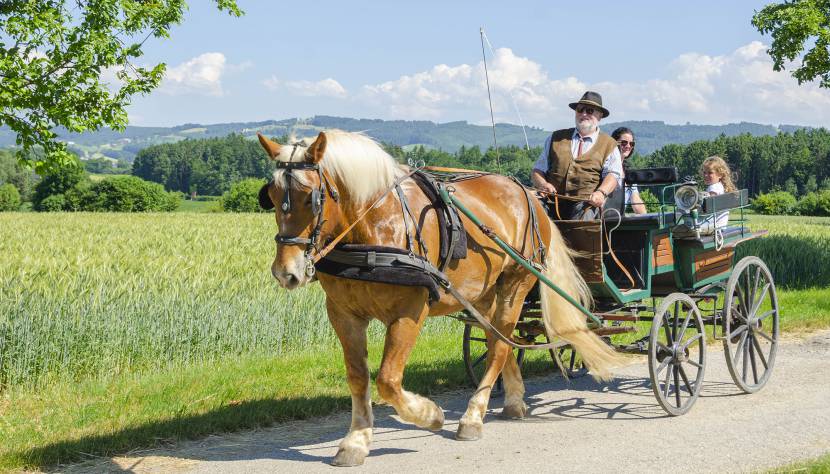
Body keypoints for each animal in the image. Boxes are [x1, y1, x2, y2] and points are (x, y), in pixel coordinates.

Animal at [260, 130, 624, 466]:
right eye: (273, 196)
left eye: (311, 198)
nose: (285, 272)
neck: (375, 226)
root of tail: (532, 197)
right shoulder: (342, 312)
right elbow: (358, 377)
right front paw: (356, 441)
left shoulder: (410, 310)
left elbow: (388, 380)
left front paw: (430, 414)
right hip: (481, 294)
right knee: (499, 341)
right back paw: (513, 402)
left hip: (515, 284)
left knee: (500, 347)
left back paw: (473, 417)